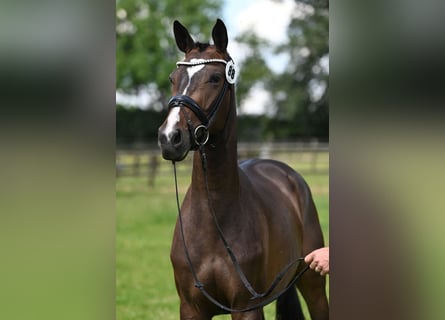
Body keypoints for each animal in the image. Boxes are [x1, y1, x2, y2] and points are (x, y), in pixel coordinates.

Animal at [156, 18, 326, 318]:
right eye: (172, 79)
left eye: (215, 78)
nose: (169, 138)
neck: (213, 220)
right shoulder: (191, 308)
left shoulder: (246, 308)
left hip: (314, 286)